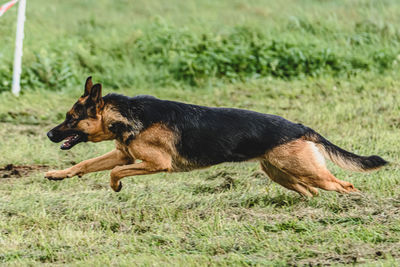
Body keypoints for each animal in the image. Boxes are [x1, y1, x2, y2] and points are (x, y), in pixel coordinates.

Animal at [44, 77, 388, 197]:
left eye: (71, 118)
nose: (49, 134)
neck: (126, 115)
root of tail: (299, 127)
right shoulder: (124, 154)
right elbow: (84, 165)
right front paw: (57, 174)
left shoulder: (156, 163)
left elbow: (114, 172)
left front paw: (116, 186)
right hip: (282, 173)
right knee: (311, 191)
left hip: (304, 170)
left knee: (344, 185)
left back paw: (354, 204)